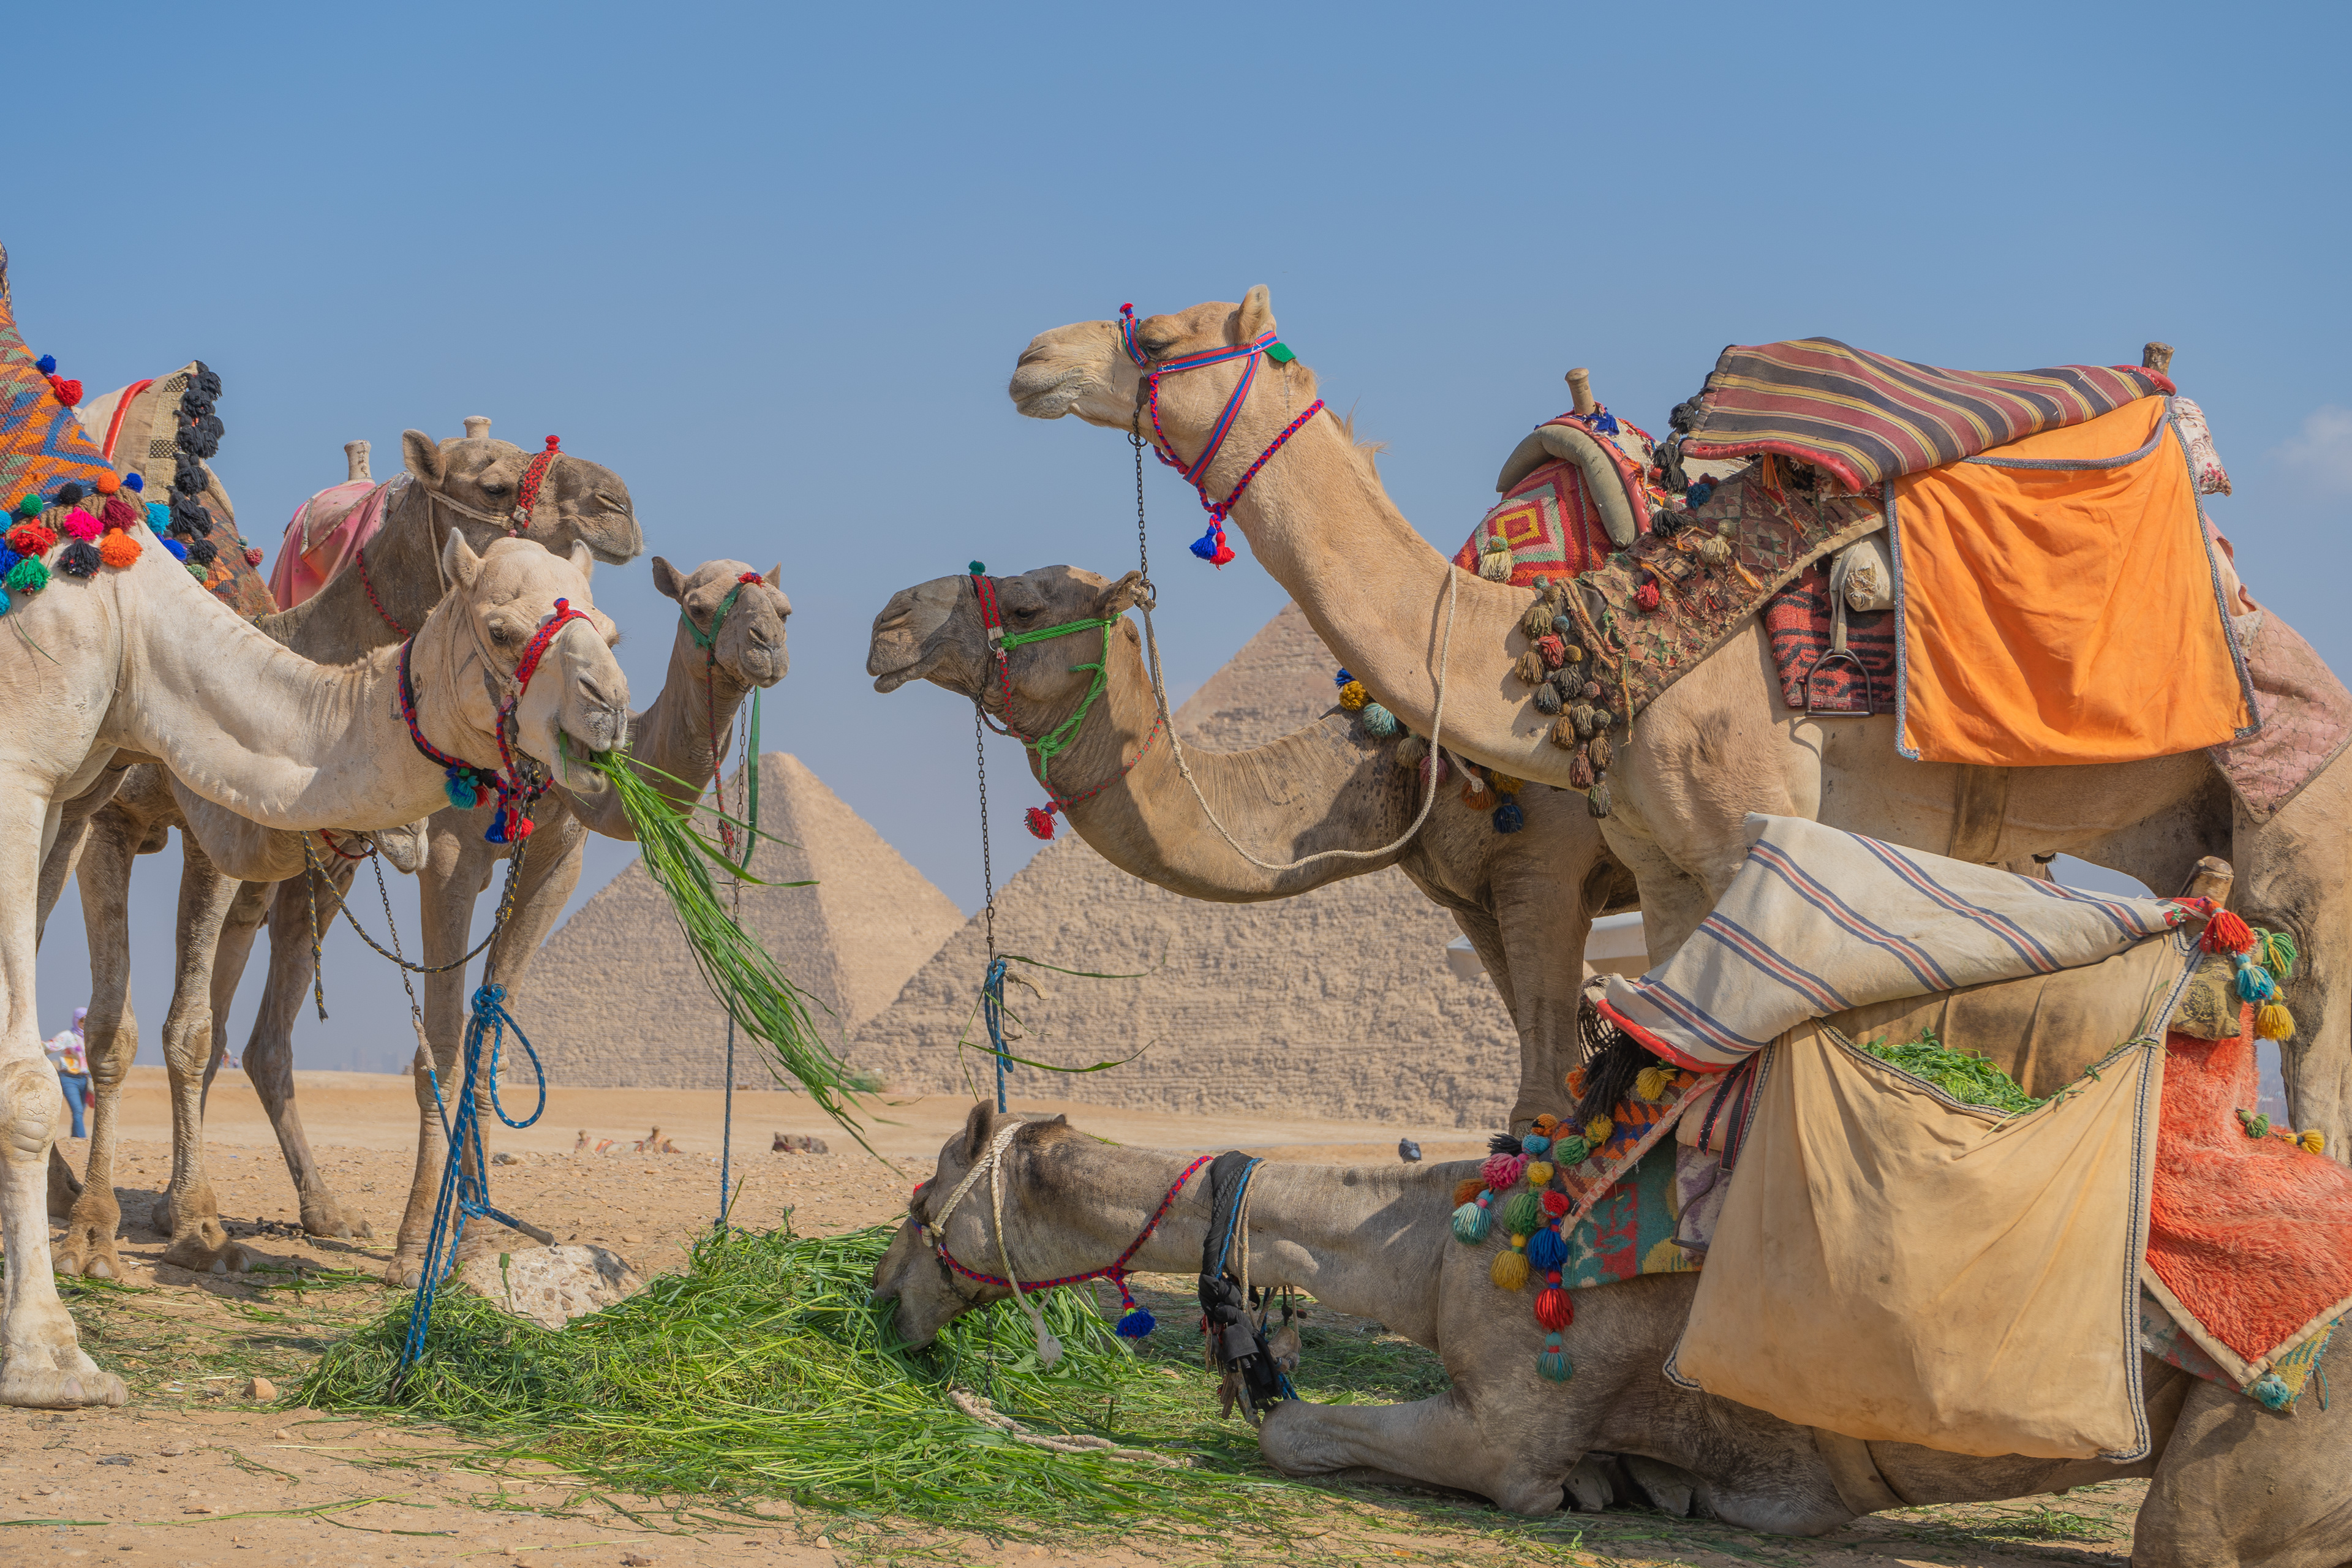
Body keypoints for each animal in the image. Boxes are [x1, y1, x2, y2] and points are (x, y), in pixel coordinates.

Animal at [0, 526, 627, 1407]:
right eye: (501, 631)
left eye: (610, 633)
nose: (609, 707)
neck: (135, 629)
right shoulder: (58, 788)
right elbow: (82, 1050)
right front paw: (58, 1329)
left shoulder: (91, 790)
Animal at [867, 563, 1635, 1130]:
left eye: (1025, 607)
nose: (889, 620)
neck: (1401, 748)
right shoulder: (1470, 896)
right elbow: (1535, 1027)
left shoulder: (1547, 866)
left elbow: (1545, 1063)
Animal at [875, 1101, 2349, 1567]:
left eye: (917, 1196)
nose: (885, 1304)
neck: (1435, 1241)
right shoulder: (1775, 1483)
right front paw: (1626, 1483)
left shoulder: (1508, 1429)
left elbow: (1298, 1437)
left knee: (2188, 1528)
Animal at [1005, 291, 2352, 1158]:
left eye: (1158, 334)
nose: (1030, 357)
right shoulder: (1645, 863)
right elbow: (1623, 1062)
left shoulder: (1633, 847)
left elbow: (1603, 1065)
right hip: (2164, 819)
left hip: (2298, 800)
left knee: (2317, 1016)